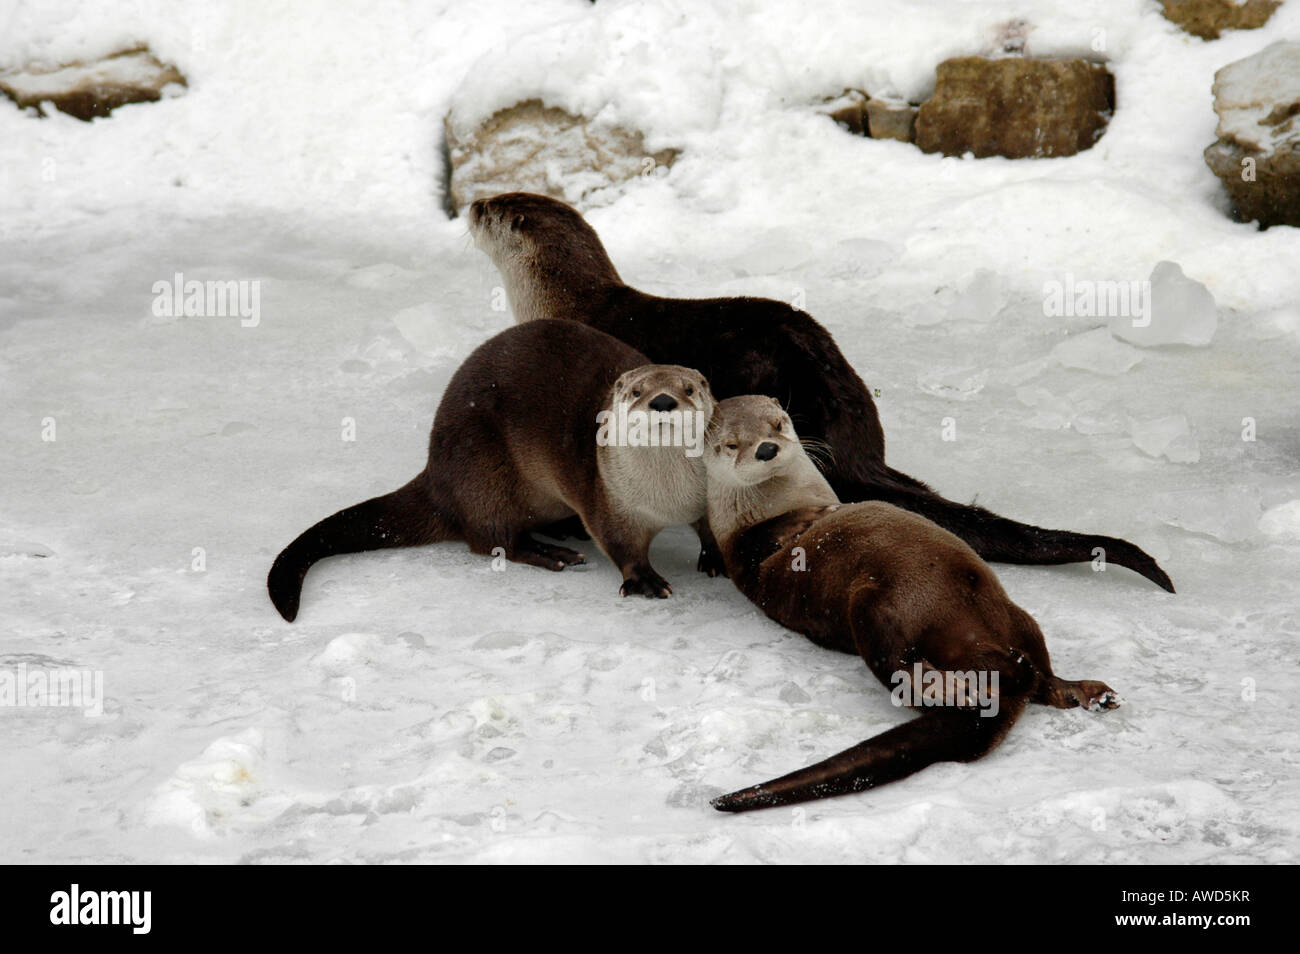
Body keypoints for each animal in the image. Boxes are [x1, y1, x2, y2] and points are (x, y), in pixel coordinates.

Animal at [270, 321, 722, 621]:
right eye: (636, 392)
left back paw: (564, 530)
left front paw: (715, 557)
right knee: (491, 538)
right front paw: (646, 581)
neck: (665, 500)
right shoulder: (608, 500)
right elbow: (621, 544)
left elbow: (712, 526)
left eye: (688, 389)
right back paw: (551, 553)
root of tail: (435, 476)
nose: (662, 401)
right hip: (482, 470)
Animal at [702, 395, 1118, 816]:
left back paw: (1086, 692)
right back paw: (950, 690)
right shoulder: (742, 553)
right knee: (896, 663)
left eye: (778, 424)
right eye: (732, 445)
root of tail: (994, 674)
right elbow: (759, 539)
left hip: (1015, 617)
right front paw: (810, 517)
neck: (788, 498)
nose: (766, 449)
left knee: (1042, 679)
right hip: (872, 603)